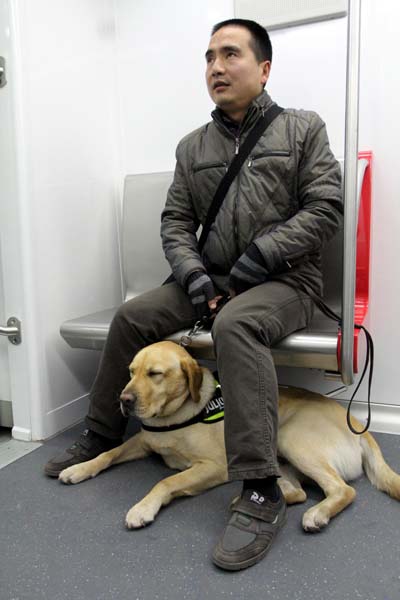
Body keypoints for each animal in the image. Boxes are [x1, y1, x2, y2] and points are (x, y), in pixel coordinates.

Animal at [60, 340, 400, 532]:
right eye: (131, 371)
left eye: (155, 374)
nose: (124, 399)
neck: (175, 414)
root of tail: (357, 424)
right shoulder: (143, 441)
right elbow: (108, 453)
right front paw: (79, 468)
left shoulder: (213, 466)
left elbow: (166, 481)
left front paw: (144, 508)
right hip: (281, 460)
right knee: (297, 493)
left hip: (291, 438)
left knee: (343, 490)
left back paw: (317, 515)